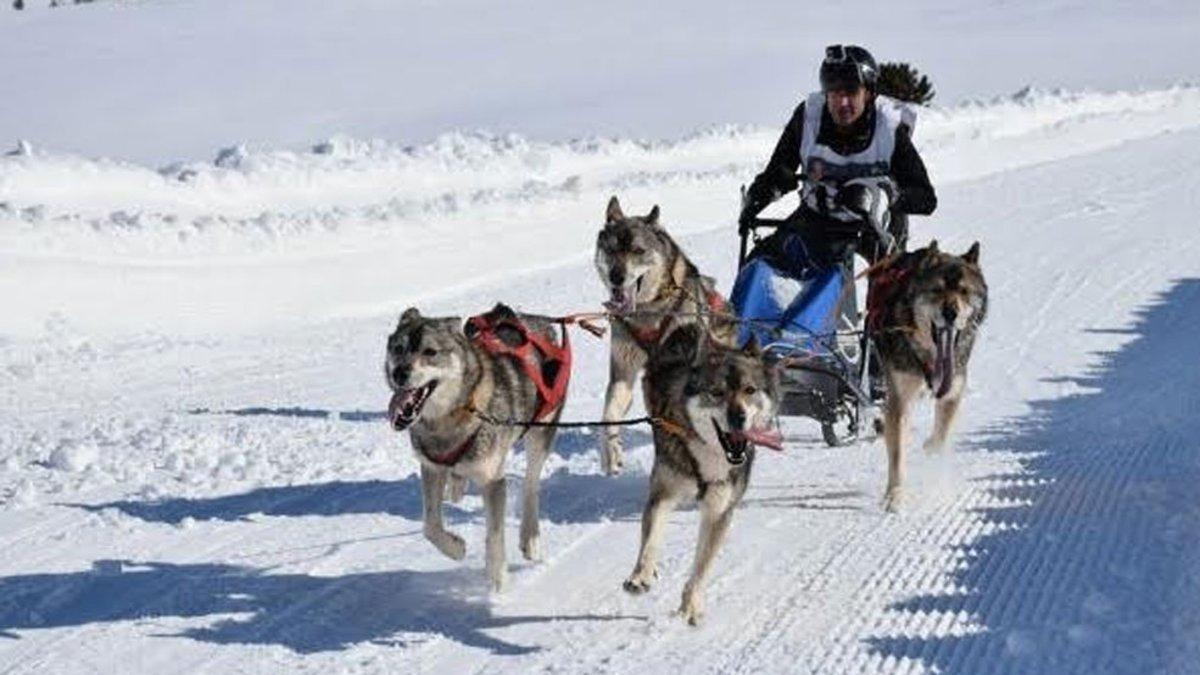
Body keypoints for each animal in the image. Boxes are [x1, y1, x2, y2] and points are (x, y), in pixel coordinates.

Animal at [384, 302, 571, 590]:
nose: (399, 373)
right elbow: (430, 525)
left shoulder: (492, 479)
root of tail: (537, 320)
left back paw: (530, 538)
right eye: (398, 348)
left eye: (430, 352)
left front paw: (498, 580)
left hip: (541, 431)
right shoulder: (431, 468)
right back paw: (457, 486)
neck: (450, 418)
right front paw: (455, 547)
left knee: (531, 485)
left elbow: (494, 534)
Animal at [595, 195, 734, 473]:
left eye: (638, 250)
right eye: (612, 250)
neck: (648, 312)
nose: (616, 277)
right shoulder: (623, 370)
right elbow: (609, 413)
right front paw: (610, 453)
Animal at [624, 324, 782, 624]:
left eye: (750, 390)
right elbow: (651, 541)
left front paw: (690, 607)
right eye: (717, 392)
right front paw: (641, 575)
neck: (709, 452)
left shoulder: (719, 511)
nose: (738, 418)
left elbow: (702, 567)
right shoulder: (663, 493)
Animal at [873, 239, 984, 506]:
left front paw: (929, 447)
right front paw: (895, 495)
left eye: (964, 291)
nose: (951, 313)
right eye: (936, 290)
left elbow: (940, 438)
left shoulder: (953, 391)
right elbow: (897, 453)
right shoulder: (899, 397)